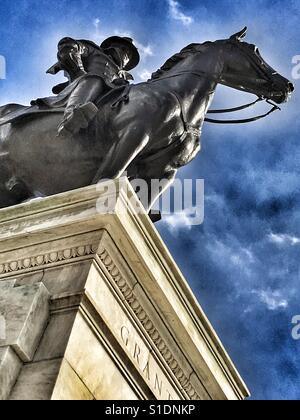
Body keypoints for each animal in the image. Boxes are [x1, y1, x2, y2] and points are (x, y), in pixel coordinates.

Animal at [0, 27, 294, 213]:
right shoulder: (131, 138)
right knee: (89, 77)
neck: (179, 97)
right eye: (255, 50)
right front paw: (76, 67)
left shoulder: (164, 170)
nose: (288, 86)